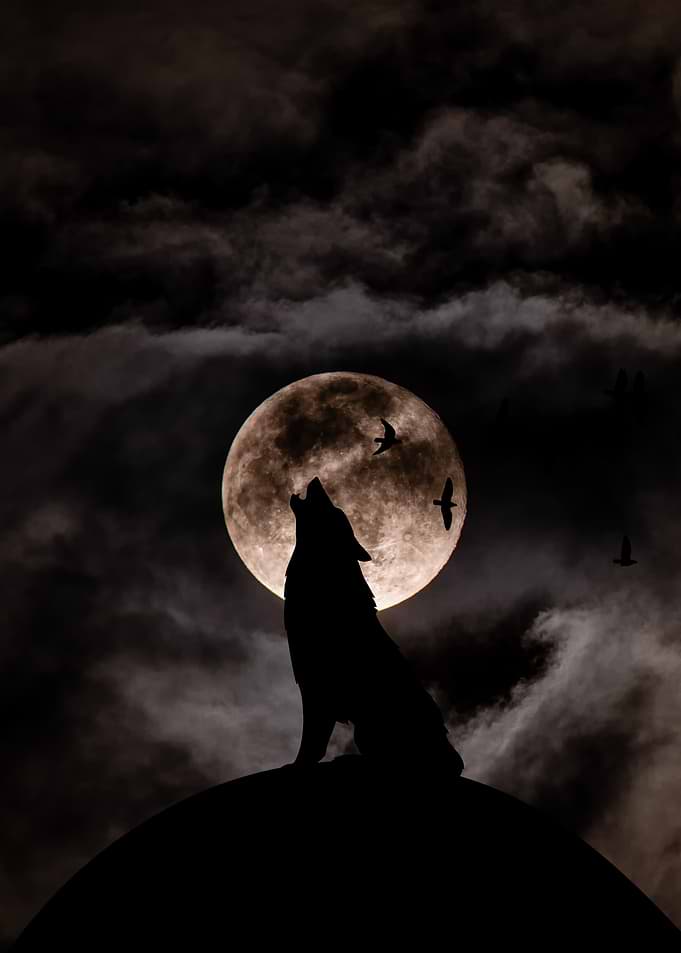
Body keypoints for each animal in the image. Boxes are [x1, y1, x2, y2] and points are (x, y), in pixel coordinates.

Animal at [284, 477, 464, 773]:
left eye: (335, 512)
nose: (317, 479)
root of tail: (452, 760)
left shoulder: (316, 688)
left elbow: (311, 742)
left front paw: (297, 765)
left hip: (368, 728)